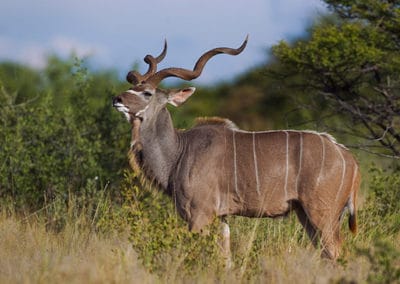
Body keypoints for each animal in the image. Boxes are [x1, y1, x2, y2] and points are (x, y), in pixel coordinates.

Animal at [111, 36, 360, 260]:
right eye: (131, 87)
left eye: (147, 93)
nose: (117, 99)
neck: (179, 152)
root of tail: (349, 158)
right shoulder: (222, 217)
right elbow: (226, 257)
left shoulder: (199, 214)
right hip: (306, 214)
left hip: (322, 213)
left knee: (336, 252)